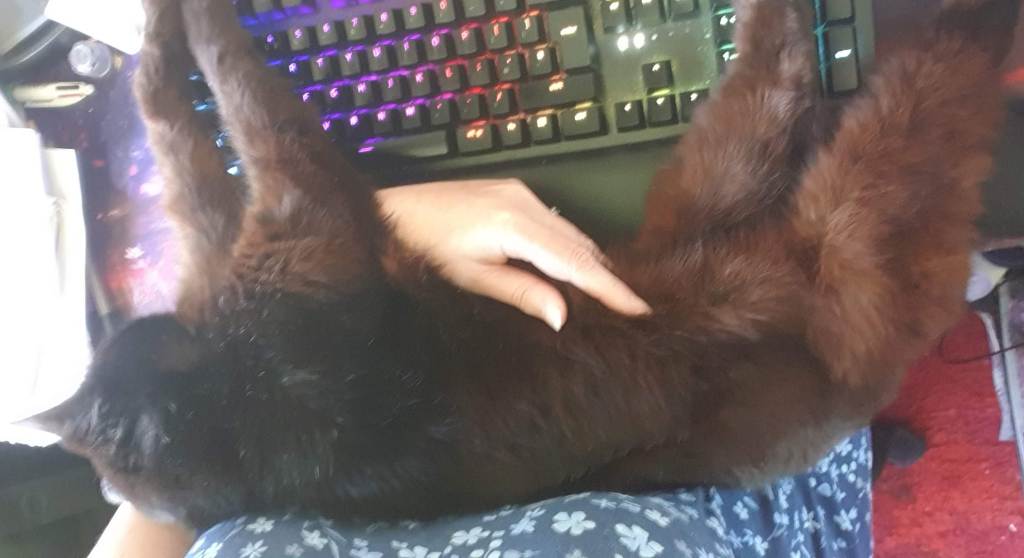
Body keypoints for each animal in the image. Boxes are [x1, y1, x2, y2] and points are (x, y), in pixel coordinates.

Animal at [21, 0, 1020, 531]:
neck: (231, 415)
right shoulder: (301, 221)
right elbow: (255, 104)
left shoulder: (232, 236)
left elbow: (182, 134)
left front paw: (153, 34)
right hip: (849, 233)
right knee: (876, 86)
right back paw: (948, 23)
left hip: (715, 179)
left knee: (780, 80)